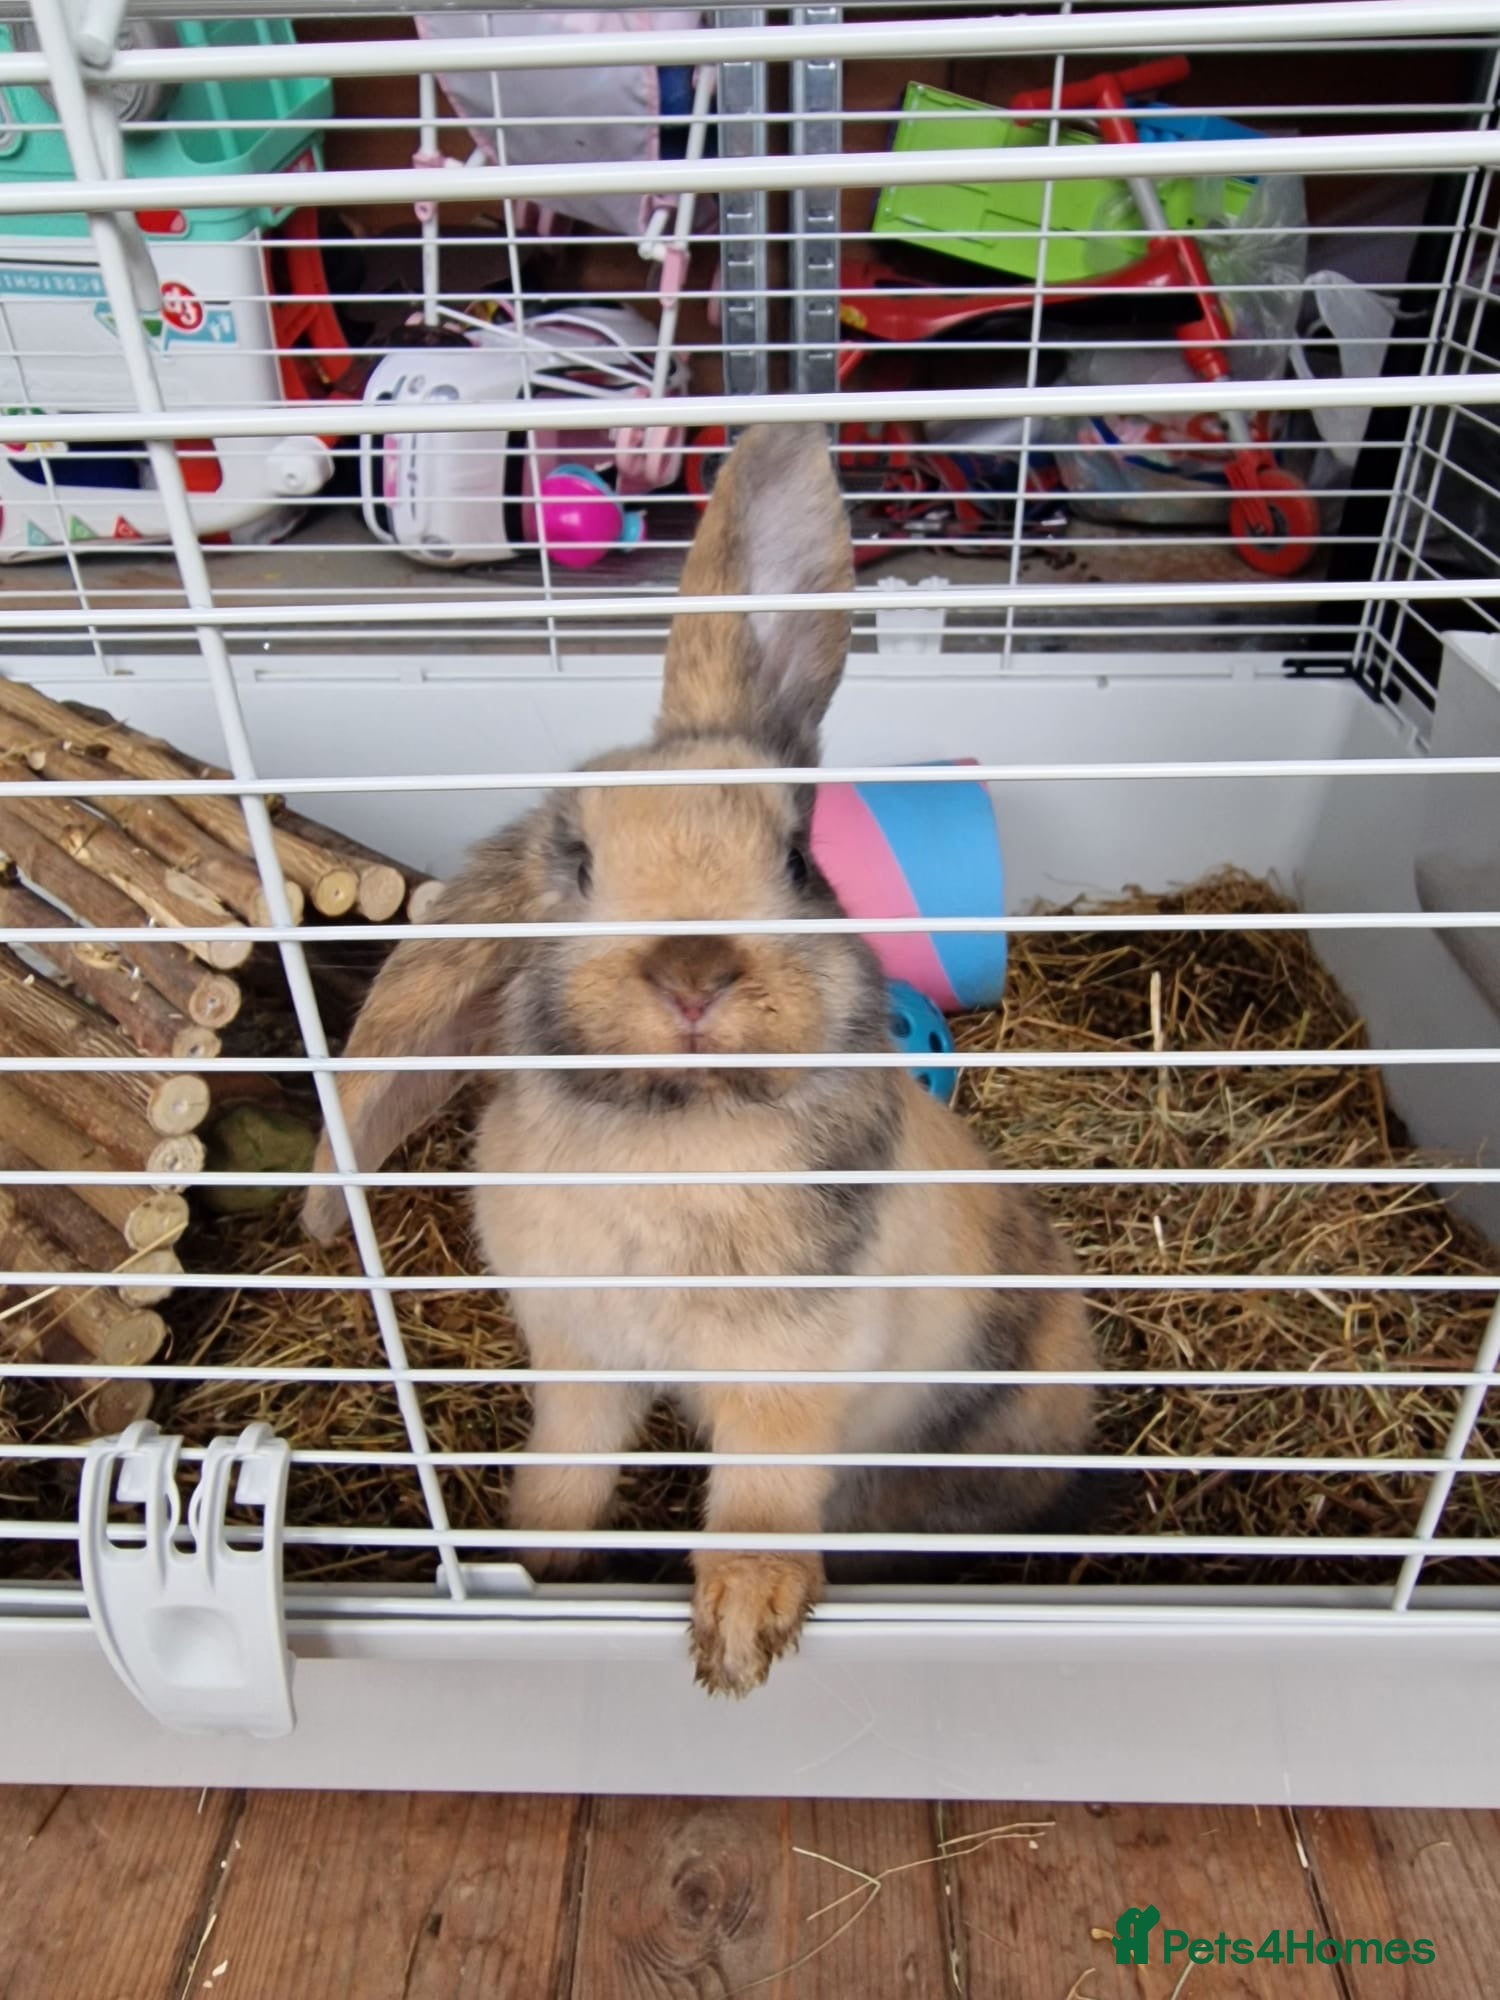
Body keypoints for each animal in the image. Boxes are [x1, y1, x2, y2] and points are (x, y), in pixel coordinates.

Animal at [304, 423, 1097, 1696]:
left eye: (800, 859)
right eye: (576, 860)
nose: (691, 971)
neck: (676, 1121)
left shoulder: (789, 1375)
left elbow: (763, 1492)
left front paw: (738, 1632)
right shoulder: (579, 1357)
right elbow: (567, 1468)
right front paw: (541, 1559)